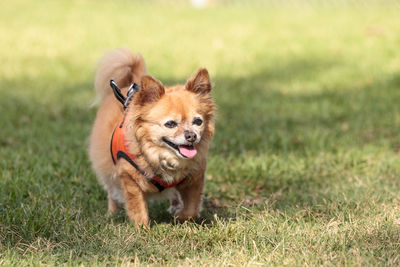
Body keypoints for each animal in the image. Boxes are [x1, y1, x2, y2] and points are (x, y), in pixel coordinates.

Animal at [88, 48, 216, 228]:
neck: (163, 156)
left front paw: (181, 218)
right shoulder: (130, 179)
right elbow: (137, 207)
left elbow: (191, 207)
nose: (191, 135)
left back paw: (176, 206)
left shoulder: (195, 178)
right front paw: (142, 228)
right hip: (107, 169)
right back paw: (112, 213)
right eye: (170, 124)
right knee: (112, 192)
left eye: (198, 122)